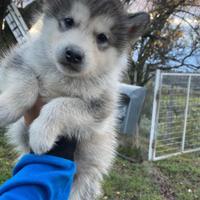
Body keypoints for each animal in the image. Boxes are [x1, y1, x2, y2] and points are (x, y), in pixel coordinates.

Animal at [0, 0, 149, 199]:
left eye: (102, 37)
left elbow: (62, 105)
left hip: (83, 183)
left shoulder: (101, 108)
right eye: (68, 21)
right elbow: (27, 82)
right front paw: (5, 109)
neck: (63, 77)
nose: (73, 54)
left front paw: (41, 133)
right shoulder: (16, 60)